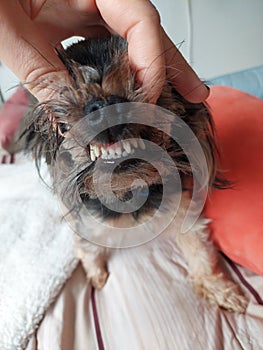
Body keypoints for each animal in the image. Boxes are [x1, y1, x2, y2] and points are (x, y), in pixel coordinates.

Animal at [23, 37, 249, 314]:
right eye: (71, 88)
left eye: (141, 84)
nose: (106, 104)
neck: (127, 190)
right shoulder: (86, 220)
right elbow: (87, 249)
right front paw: (97, 276)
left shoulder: (181, 207)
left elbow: (199, 250)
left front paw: (219, 289)